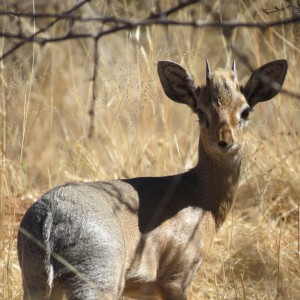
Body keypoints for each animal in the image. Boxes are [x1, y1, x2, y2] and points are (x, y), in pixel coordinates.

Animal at [17, 59, 288, 300]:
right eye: (200, 111)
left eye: (245, 110)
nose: (225, 140)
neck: (201, 198)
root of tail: (49, 220)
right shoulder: (176, 277)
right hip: (96, 281)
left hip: (35, 281)